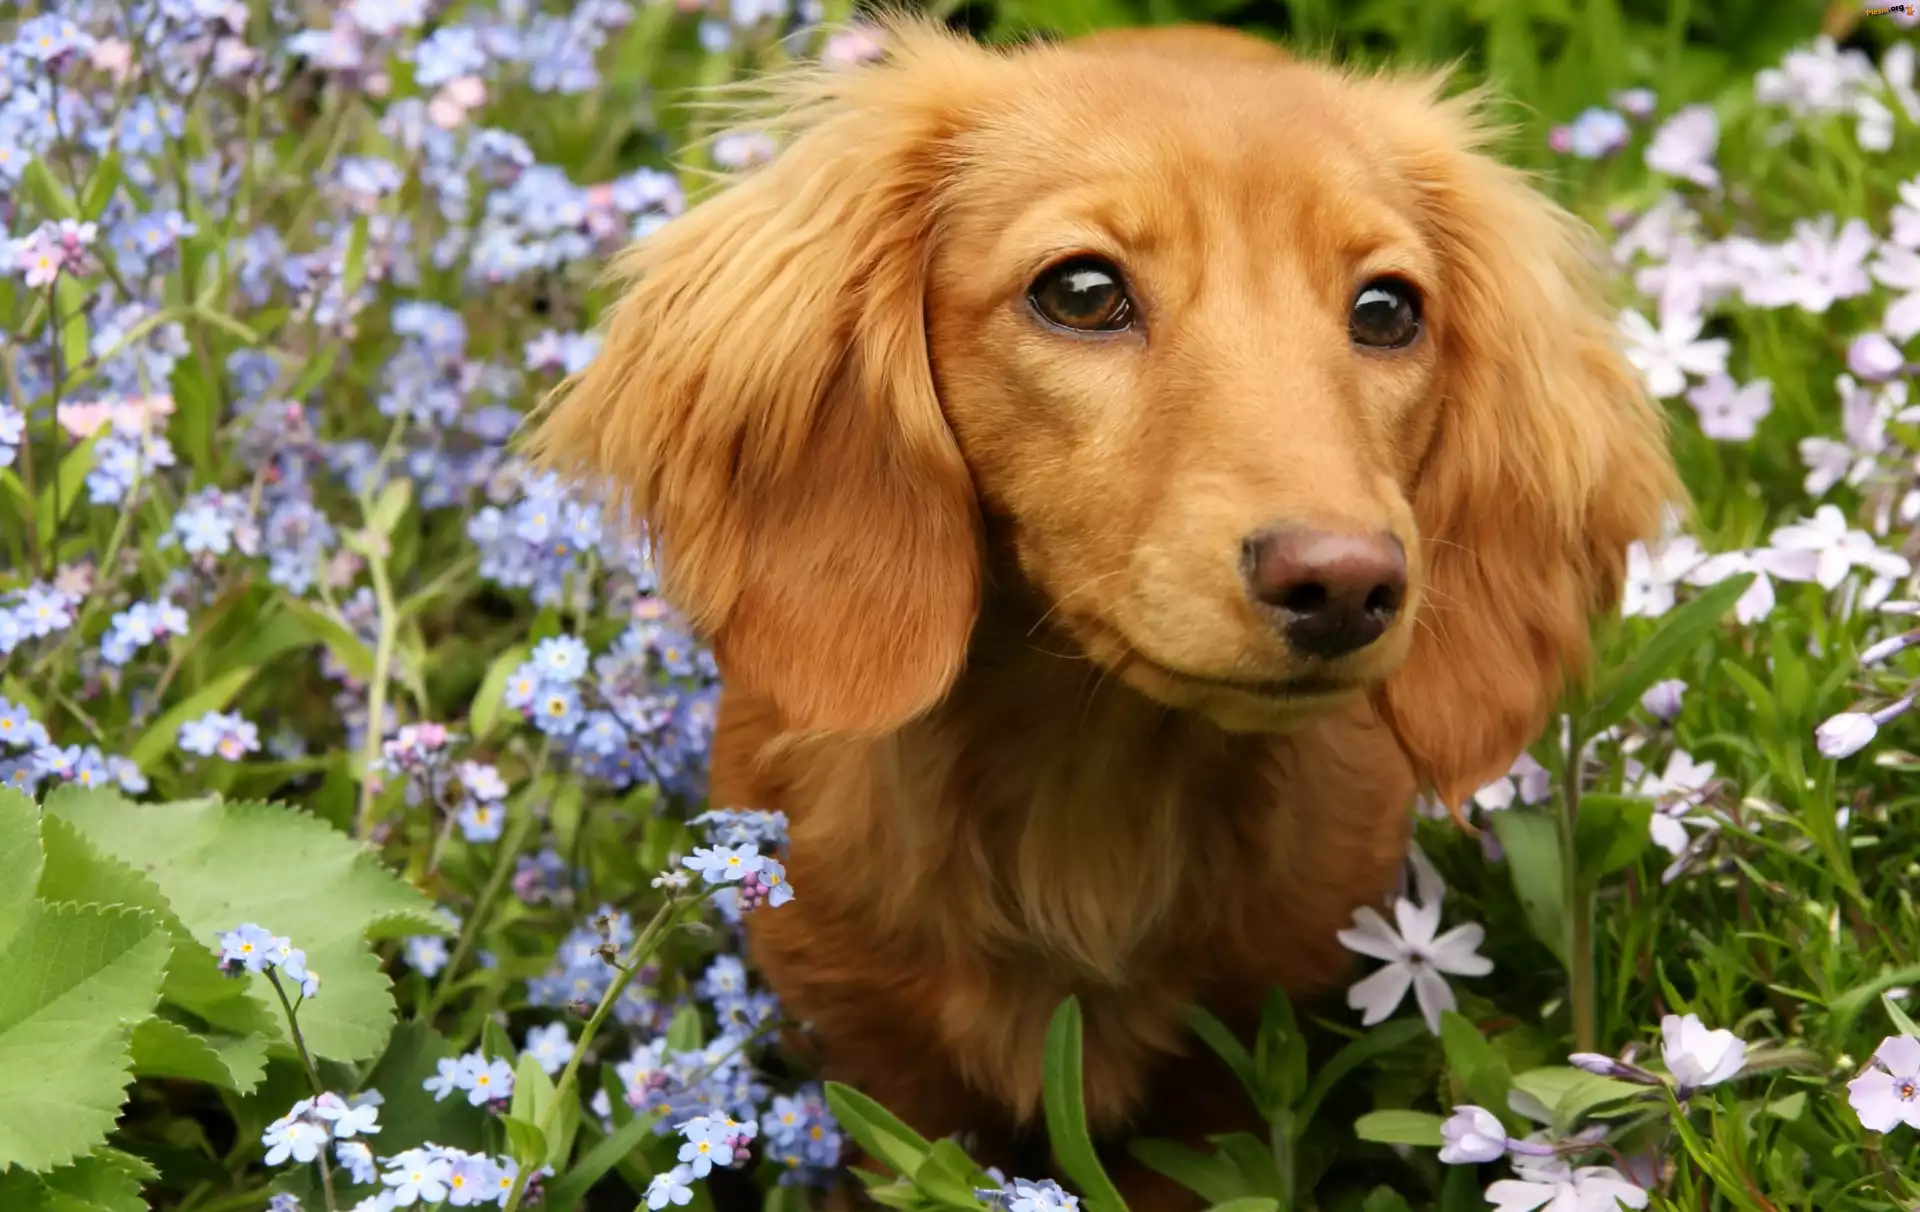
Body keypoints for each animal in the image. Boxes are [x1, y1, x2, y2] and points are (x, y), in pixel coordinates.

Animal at [531, 18, 1679, 1207]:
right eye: (1081, 292)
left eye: (1387, 310)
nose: (1344, 586)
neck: (1089, 801)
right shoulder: (875, 1069)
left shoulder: (1226, 1086)